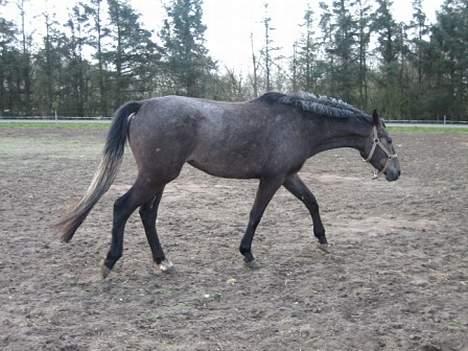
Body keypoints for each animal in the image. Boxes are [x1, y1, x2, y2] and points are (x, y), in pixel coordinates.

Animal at [56, 92, 400, 280]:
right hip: (155, 176)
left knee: (146, 215)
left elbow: (311, 201)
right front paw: (247, 254)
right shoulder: (273, 178)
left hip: (160, 178)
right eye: (388, 139)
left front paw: (323, 240)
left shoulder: (288, 176)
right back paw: (110, 263)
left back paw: (163, 262)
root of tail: (142, 105)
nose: (396, 172)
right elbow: (256, 214)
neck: (297, 123)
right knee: (122, 208)